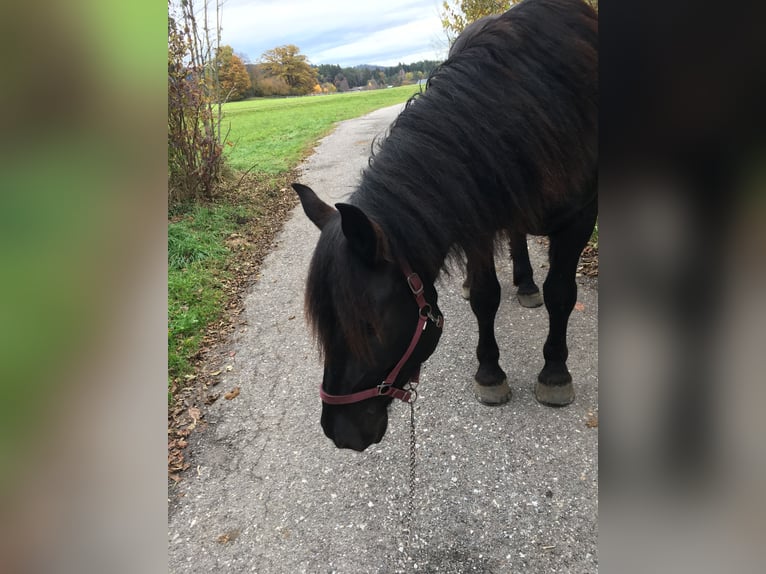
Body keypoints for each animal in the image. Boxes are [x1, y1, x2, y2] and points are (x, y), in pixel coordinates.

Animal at [294, 0, 597, 451]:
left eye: (369, 327)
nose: (340, 432)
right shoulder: (478, 220)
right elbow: (486, 297)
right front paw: (490, 373)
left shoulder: (581, 220)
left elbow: (561, 294)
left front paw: (555, 374)